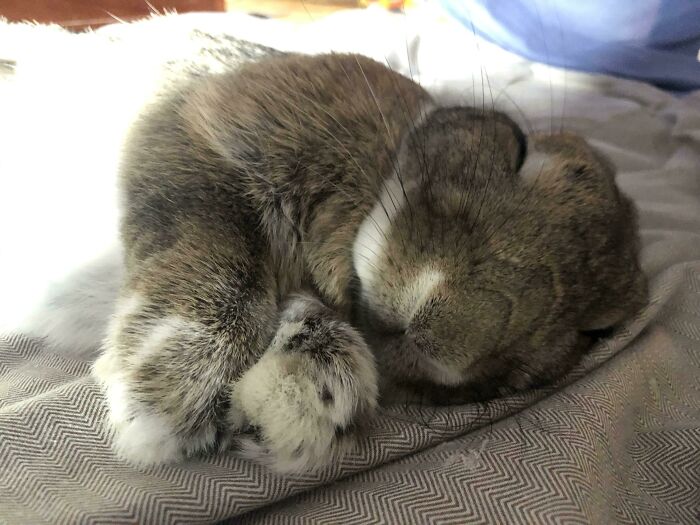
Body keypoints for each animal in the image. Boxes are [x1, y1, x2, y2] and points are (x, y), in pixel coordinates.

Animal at [93, 52, 647, 472]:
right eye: (519, 148)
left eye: (596, 330)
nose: (441, 333)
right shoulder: (196, 131)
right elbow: (216, 245)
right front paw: (163, 405)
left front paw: (296, 404)